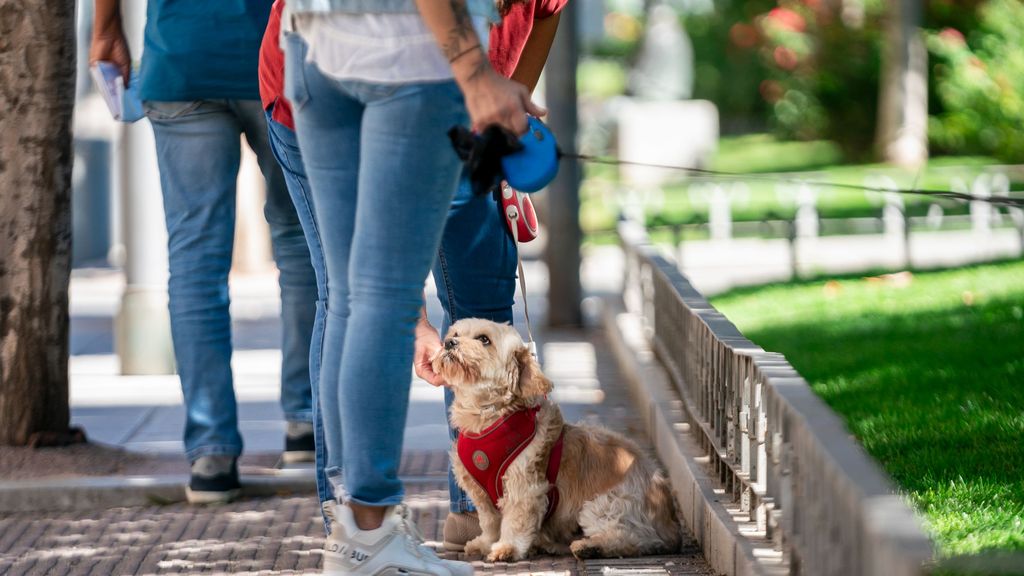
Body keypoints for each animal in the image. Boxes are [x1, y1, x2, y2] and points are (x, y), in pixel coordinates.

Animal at [428, 315, 684, 557]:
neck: (486, 417)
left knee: (631, 539)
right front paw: (485, 543)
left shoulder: (524, 486)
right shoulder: (481, 494)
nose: (449, 343)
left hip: (605, 505)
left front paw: (507, 548)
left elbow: (515, 521)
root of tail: (669, 520)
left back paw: (590, 547)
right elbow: (490, 522)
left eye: (483, 339)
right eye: (455, 334)